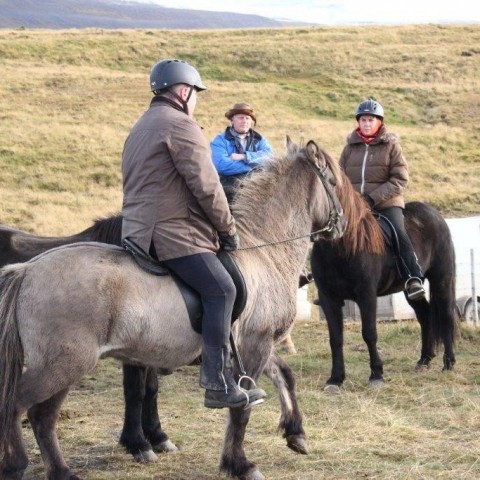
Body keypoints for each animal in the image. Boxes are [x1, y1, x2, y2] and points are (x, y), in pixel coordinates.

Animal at [0, 141, 344, 480]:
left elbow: (284, 375)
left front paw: (296, 434)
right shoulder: (255, 344)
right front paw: (240, 464)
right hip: (64, 364)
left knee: (41, 416)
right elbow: (241, 408)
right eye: (333, 182)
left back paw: (58, 471)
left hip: (64, 365)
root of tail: (28, 270)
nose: (342, 224)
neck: (264, 251)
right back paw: (20, 464)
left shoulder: (254, 344)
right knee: (21, 406)